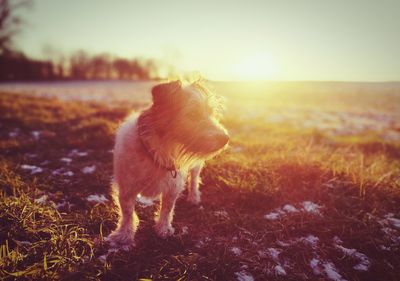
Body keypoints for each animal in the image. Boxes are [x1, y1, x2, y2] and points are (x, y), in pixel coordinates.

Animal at [107, 79, 228, 245]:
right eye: (192, 113)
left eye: (211, 112)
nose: (225, 138)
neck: (157, 151)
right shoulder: (126, 188)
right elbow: (127, 212)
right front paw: (124, 234)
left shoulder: (172, 187)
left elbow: (167, 209)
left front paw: (163, 229)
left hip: (196, 167)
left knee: (194, 179)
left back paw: (194, 197)